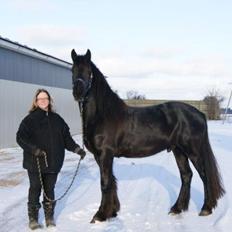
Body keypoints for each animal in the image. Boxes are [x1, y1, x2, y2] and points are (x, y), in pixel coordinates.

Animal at [70, 49, 225, 223]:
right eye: (73, 70)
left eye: (89, 72)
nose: (77, 92)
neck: (103, 114)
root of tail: (200, 114)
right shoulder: (100, 156)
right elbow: (112, 181)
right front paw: (113, 212)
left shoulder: (105, 154)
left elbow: (105, 183)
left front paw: (100, 215)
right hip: (178, 151)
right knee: (186, 175)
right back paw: (177, 208)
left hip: (193, 151)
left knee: (204, 176)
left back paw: (206, 209)